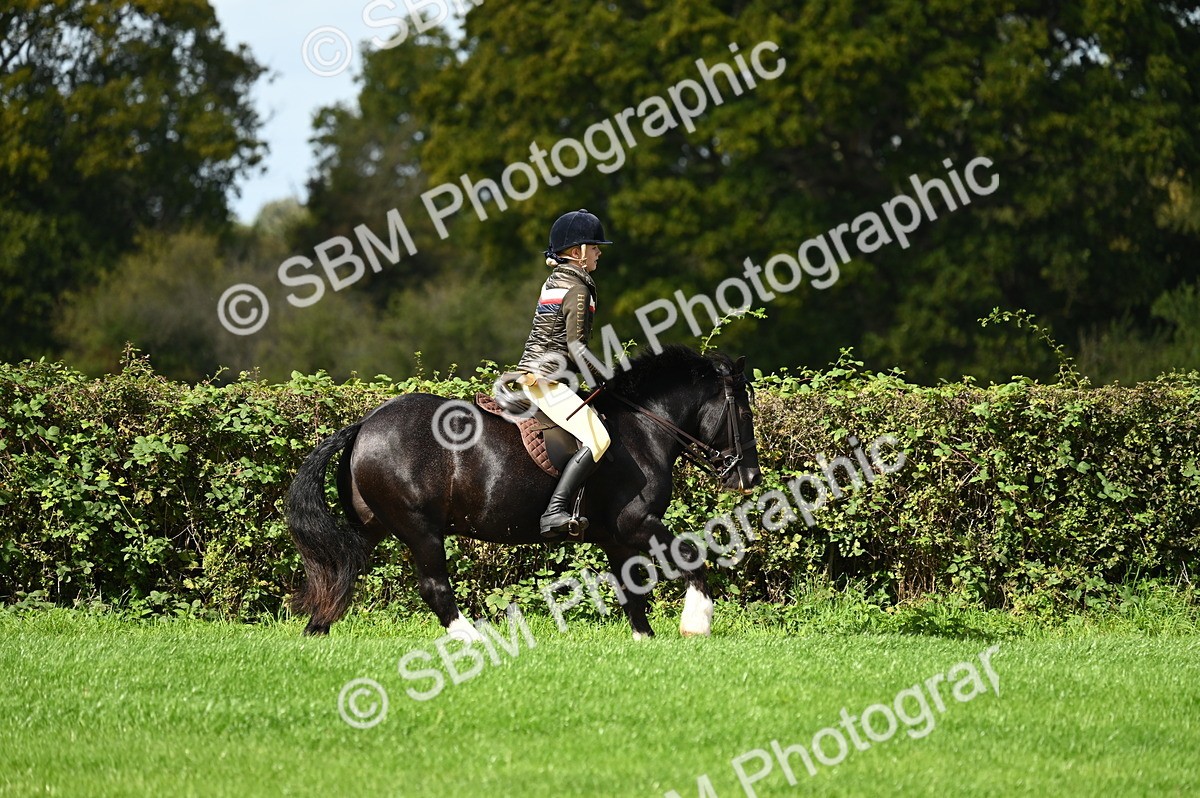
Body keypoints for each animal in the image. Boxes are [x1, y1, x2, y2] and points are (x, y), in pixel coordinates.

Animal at [286, 344, 762, 639]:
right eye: (742, 412)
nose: (751, 479)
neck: (645, 427)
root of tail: (366, 423)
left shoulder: (616, 537)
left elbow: (631, 589)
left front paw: (645, 639)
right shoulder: (638, 522)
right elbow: (691, 554)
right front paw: (697, 622)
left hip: (372, 526)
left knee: (342, 570)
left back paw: (316, 632)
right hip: (421, 529)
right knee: (434, 587)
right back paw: (472, 640)